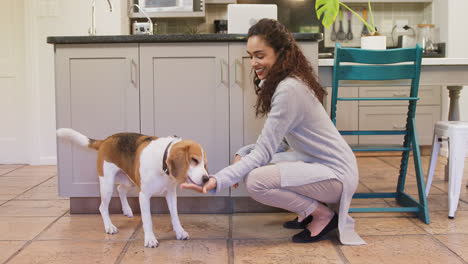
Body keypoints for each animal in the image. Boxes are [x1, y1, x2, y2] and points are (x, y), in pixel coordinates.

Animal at [56, 128, 208, 248]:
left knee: (120, 189)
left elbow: (175, 216)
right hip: (107, 185)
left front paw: (180, 232)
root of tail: (106, 140)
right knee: (102, 207)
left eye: (204, 163)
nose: (206, 179)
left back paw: (127, 210)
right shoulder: (144, 195)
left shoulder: (170, 194)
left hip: (129, 180)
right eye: (194, 160)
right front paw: (150, 239)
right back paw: (109, 226)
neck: (162, 162)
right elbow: (147, 219)